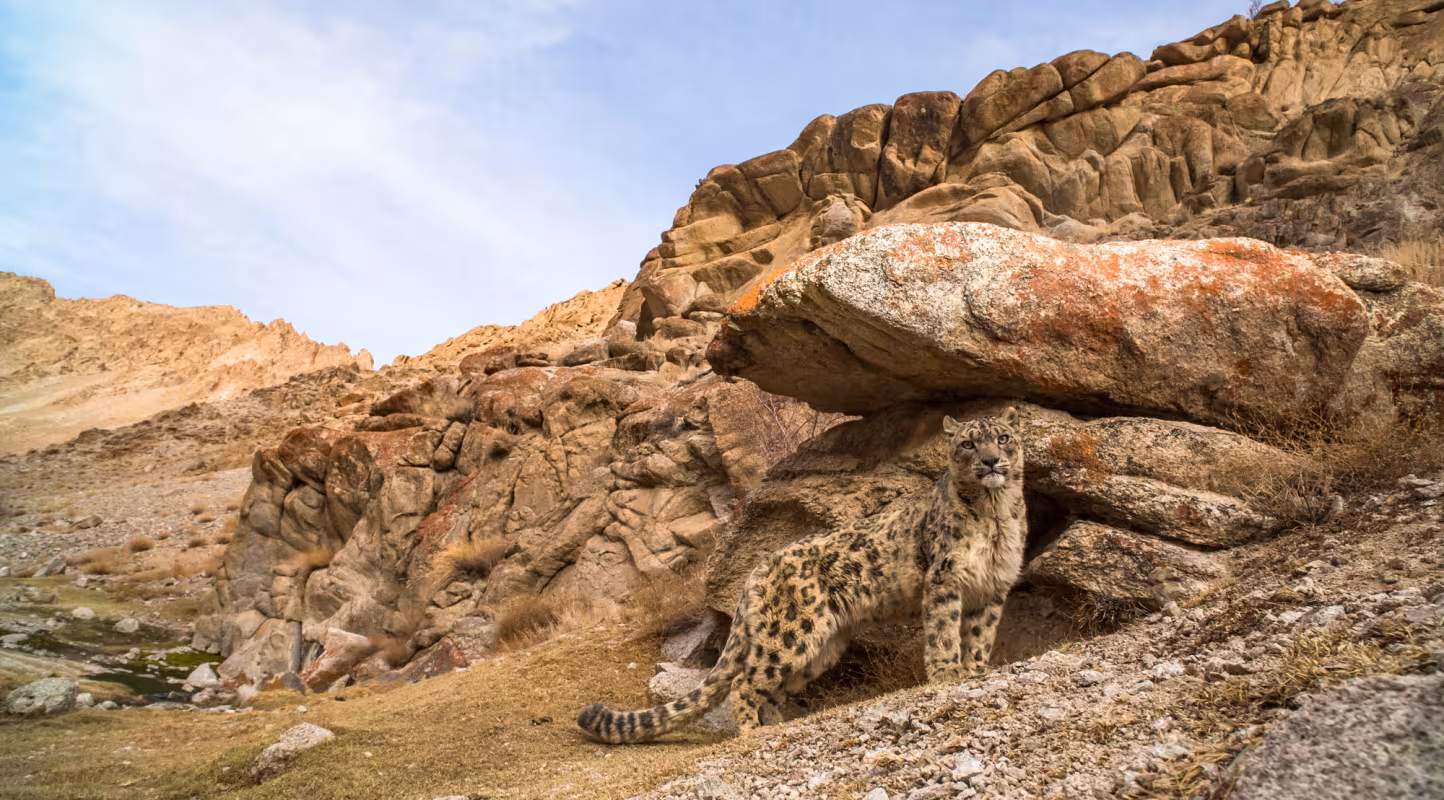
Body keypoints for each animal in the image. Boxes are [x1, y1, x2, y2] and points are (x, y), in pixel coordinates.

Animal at [577, 407, 1028, 744]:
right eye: (968, 442)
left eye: (1004, 437)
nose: (990, 460)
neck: (994, 513)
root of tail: (757, 570)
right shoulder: (945, 580)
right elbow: (944, 633)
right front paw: (948, 674)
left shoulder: (993, 587)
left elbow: (980, 635)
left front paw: (976, 670)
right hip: (791, 633)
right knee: (745, 683)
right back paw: (753, 732)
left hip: (820, 647)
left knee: (772, 689)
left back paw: (781, 725)